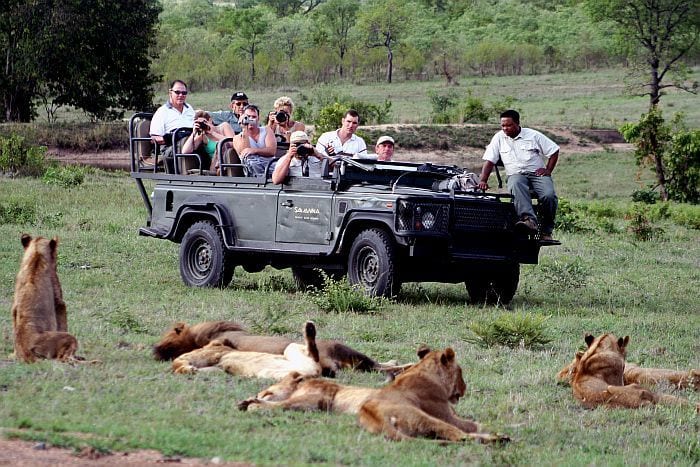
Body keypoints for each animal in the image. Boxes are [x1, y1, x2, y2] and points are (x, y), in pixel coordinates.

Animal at [10, 236, 78, 364]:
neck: (36, 255)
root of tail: (26, 352)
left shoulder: (15, 304)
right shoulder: (58, 299)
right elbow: (63, 321)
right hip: (66, 338)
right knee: (63, 357)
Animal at [170, 324, 322, 382]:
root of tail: (315, 373)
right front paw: (188, 369)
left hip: (291, 349)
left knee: (312, 352)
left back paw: (309, 328)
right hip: (268, 372)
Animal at [358, 348, 506, 442]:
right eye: (460, 371)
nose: (465, 387)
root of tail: (373, 416)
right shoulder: (448, 417)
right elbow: (476, 425)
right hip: (424, 417)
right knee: (459, 436)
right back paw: (501, 438)